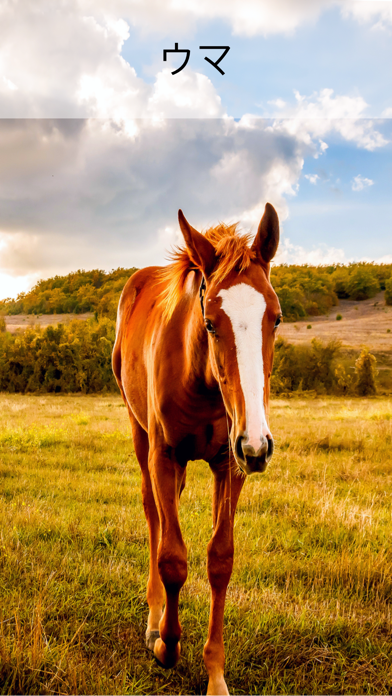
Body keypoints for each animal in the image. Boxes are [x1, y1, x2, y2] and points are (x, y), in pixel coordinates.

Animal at [112, 203, 282, 696]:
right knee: (153, 516)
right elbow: (172, 558)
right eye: (210, 321)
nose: (259, 444)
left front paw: (216, 673)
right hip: (141, 437)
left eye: (276, 317)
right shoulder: (164, 455)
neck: (202, 381)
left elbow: (219, 560)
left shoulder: (231, 463)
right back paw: (155, 618)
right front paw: (167, 645)